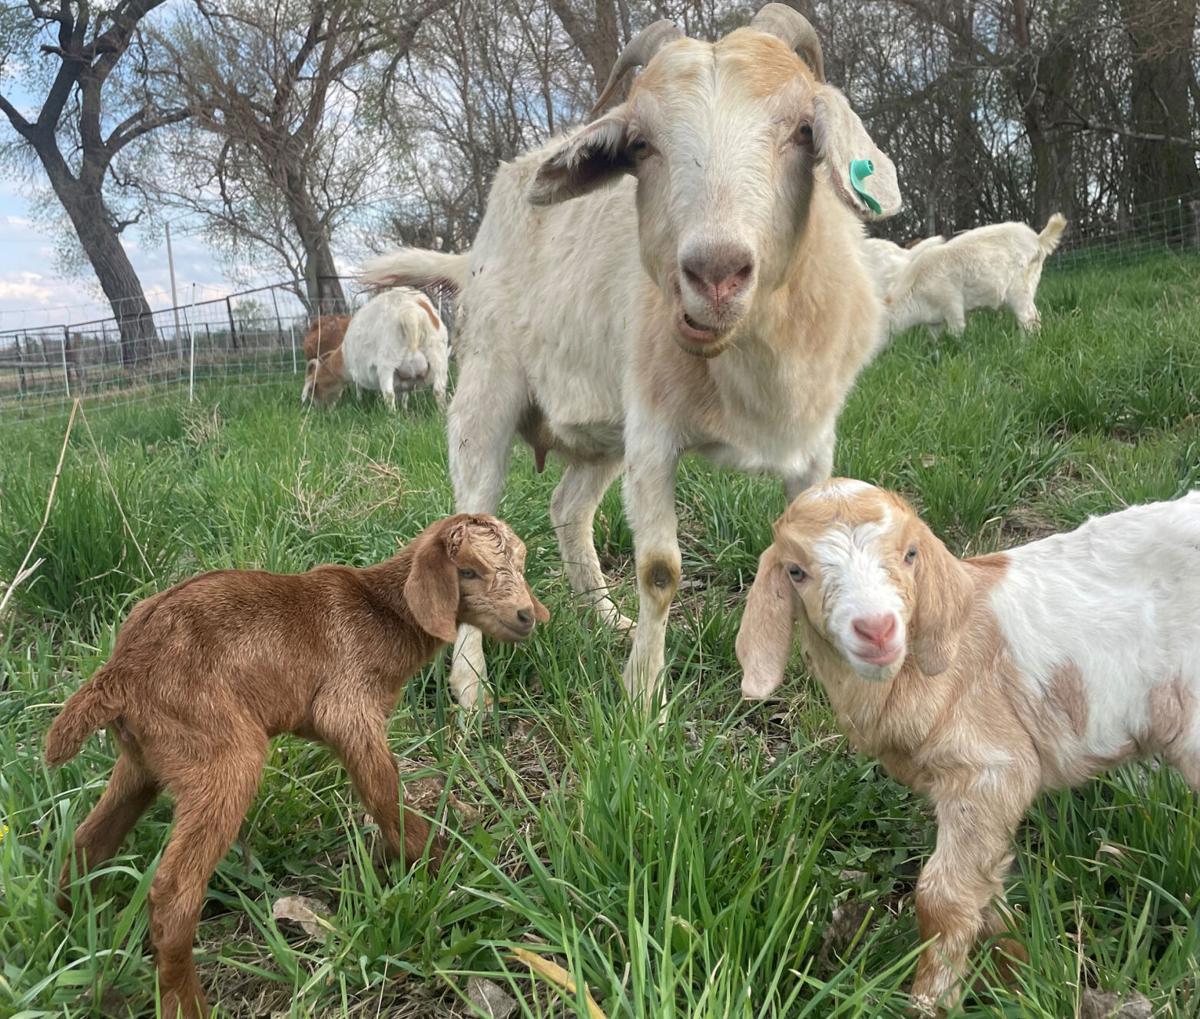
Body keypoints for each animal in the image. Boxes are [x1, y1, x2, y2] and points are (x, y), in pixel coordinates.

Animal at [45, 514, 548, 1019]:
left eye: (521, 565)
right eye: (468, 571)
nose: (526, 616)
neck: (383, 611)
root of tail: (121, 671)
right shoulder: (348, 707)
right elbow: (384, 795)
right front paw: (439, 866)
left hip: (145, 758)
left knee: (89, 839)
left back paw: (71, 934)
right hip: (221, 755)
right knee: (173, 892)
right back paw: (186, 1002)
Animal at [301, 288, 449, 411]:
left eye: (314, 389)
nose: (322, 412)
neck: (342, 357)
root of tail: (410, 312)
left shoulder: (357, 371)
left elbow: (359, 388)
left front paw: (359, 402)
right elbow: (404, 395)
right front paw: (405, 409)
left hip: (387, 360)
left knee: (389, 394)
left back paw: (392, 417)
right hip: (438, 355)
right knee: (439, 390)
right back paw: (441, 414)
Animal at [361, 3, 901, 710]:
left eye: (802, 130)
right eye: (641, 146)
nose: (716, 272)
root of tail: (469, 252)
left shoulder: (813, 445)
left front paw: (832, 693)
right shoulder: (653, 436)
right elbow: (660, 571)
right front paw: (645, 698)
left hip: (600, 429)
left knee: (568, 508)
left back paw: (605, 617)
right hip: (486, 392)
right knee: (470, 521)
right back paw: (471, 687)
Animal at [736, 478, 1200, 1012]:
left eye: (910, 553)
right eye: (796, 571)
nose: (877, 629)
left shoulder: (991, 768)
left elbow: (942, 896)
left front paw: (931, 1002)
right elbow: (985, 889)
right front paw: (1019, 973)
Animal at [884, 214, 1066, 337]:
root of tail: (1038, 239)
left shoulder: (951, 303)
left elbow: (956, 331)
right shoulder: (933, 320)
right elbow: (933, 338)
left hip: (1020, 289)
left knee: (1027, 318)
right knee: (1035, 316)